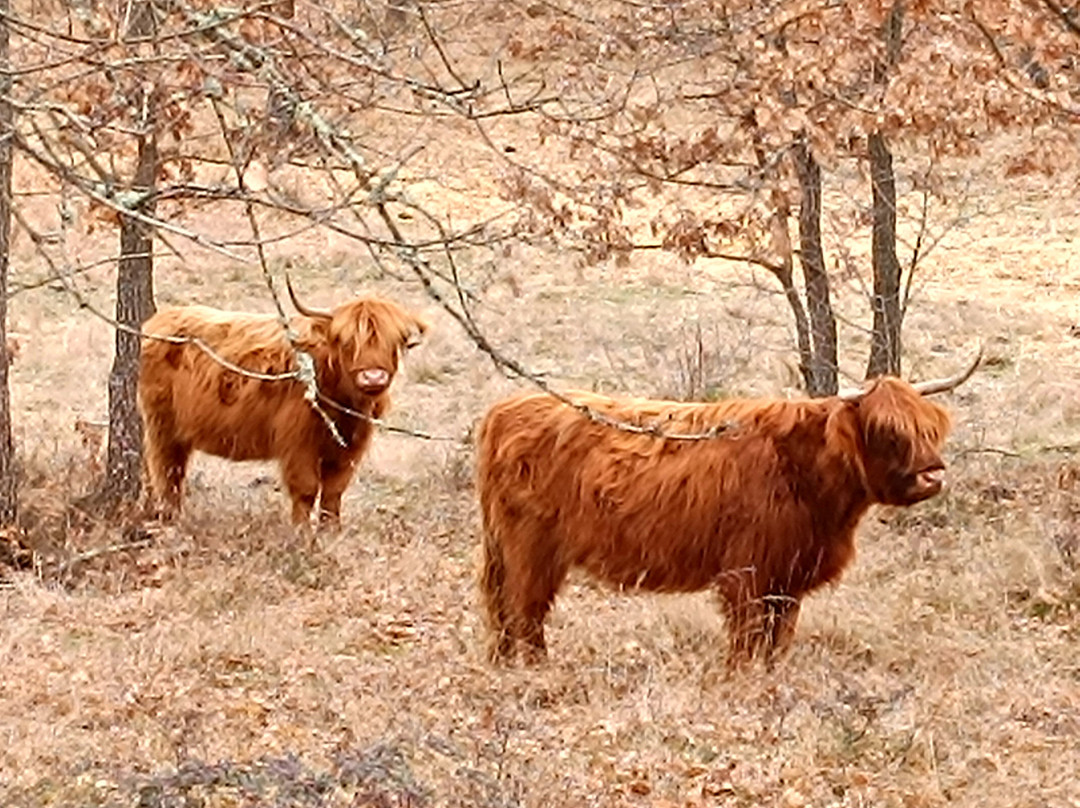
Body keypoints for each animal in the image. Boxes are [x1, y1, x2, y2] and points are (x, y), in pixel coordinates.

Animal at [138, 279, 427, 526]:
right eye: (346, 342)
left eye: (395, 342)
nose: (373, 376)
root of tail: (155, 323)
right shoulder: (298, 444)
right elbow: (307, 491)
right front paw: (301, 537)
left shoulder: (350, 450)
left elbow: (333, 494)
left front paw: (331, 535)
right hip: (162, 427)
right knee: (166, 472)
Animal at [477, 351, 980, 668]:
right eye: (888, 431)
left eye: (929, 429)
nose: (933, 476)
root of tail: (506, 408)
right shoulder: (748, 572)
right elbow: (747, 638)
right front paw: (740, 682)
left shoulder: (788, 578)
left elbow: (778, 639)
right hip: (531, 549)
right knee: (524, 610)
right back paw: (536, 671)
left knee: (504, 609)